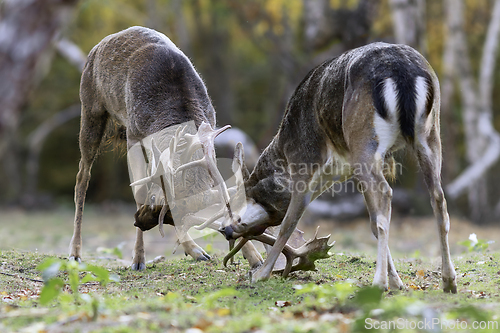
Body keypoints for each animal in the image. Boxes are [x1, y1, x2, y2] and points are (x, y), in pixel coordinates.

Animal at [71, 26, 266, 270]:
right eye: (156, 200)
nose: (137, 220)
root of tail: (96, 48)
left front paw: (254, 256)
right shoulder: (134, 135)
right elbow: (139, 191)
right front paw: (138, 259)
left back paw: (197, 251)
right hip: (91, 109)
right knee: (82, 176)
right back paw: (75, 253)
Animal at [222, 42, 458, 294]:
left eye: (234, 201)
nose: (226, 230)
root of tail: (402, 71)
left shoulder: (304, 161)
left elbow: (288, 223)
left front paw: (261, 274)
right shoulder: (350, 169)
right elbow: (372, 223)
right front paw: (398, 282)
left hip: (364, 139)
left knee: (387, 192)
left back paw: (379, 283)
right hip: (429, 135)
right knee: (438, 197)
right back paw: (448, 281)